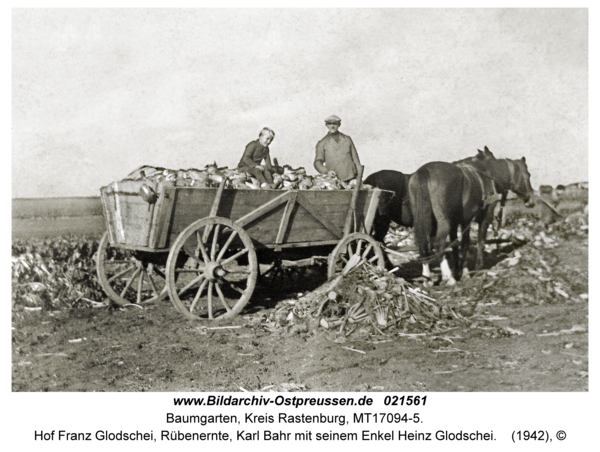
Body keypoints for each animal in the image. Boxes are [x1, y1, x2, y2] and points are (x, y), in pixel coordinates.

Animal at [408, 147, 536, 284]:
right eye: (528, 175)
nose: (531, 199)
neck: (488, 175)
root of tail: (424, 171)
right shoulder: (483, 219)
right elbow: (479, 242)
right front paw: (475, 269)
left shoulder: (459, 222)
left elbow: (458, 245)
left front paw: (460, 270)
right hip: (443, 222)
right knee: (438, 243)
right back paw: (449, 278)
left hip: (425, 221)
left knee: (423, 243)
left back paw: (426, 276)